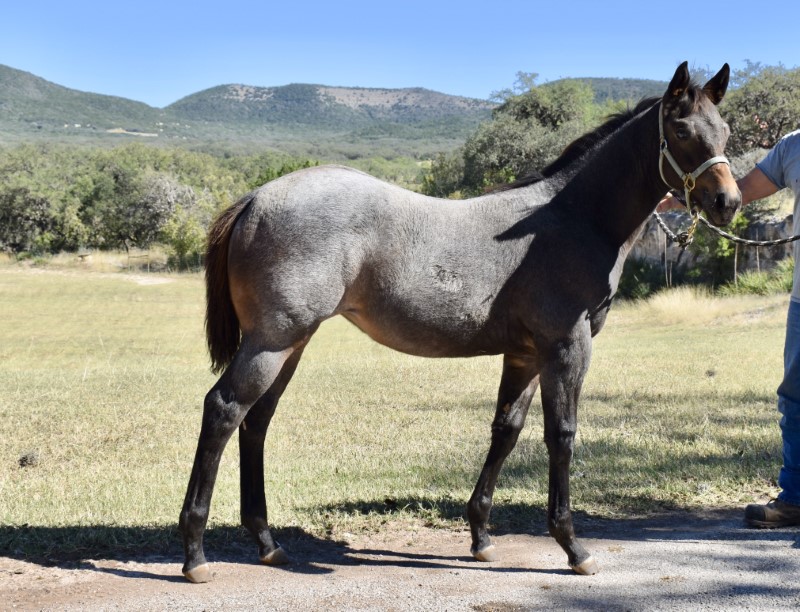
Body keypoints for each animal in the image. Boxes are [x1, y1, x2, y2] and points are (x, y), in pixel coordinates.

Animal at [178, 63, 740, 584]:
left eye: (726, 131)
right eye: (682, 130)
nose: (727, 202)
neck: (572, 220)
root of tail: (254, 198)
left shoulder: (526, 354)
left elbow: (505, 431)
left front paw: (482, 537)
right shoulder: (566, 347)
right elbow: (561, 435)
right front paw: (573, 547)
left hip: (290, 344)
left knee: (256, 421)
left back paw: (267, 543)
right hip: (272, 341)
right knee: (224, 410)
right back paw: (195, 554)